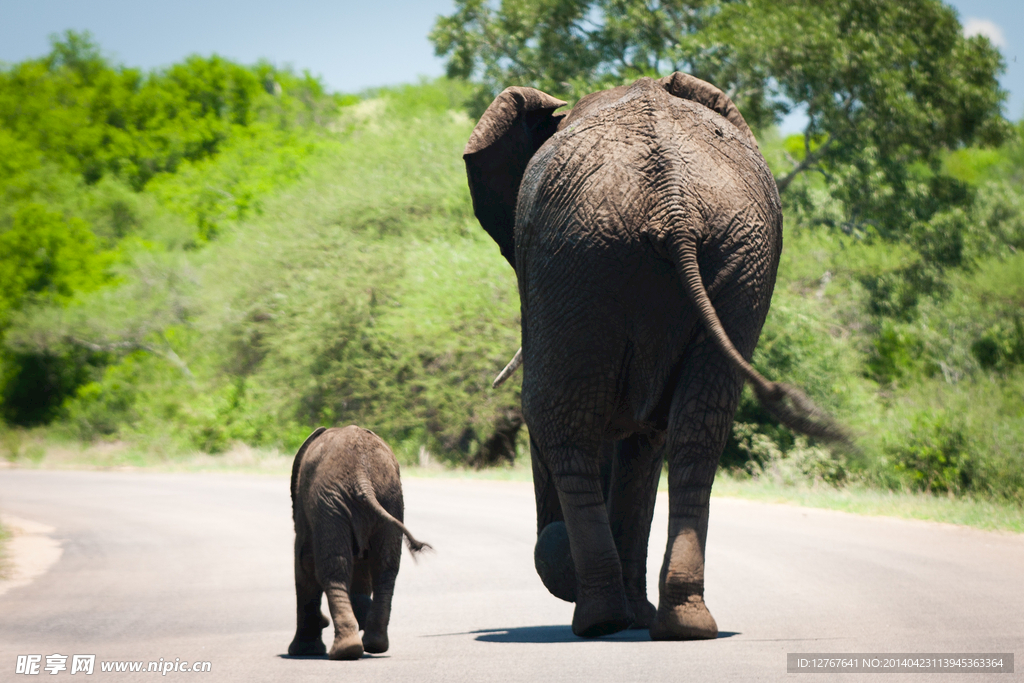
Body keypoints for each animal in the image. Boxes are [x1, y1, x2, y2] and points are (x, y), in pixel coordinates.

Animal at [286, 423, 430, 659]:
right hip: (390, 498)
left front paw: (302, 651)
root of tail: (362, 476)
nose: (324, 621)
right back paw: (374, 644)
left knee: (334, 569)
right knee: (384, 569)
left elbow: (305, 564)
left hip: (331, 504)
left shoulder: (304, 511)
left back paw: (345, 651)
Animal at [466, 73, 847, 643]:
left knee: (561, 418)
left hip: (582, 256)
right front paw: (638, 616)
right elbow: (645, 436)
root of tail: (674, 206)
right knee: (698, 428)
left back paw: (601, 620)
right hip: (729, 256)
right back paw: (681, 623)